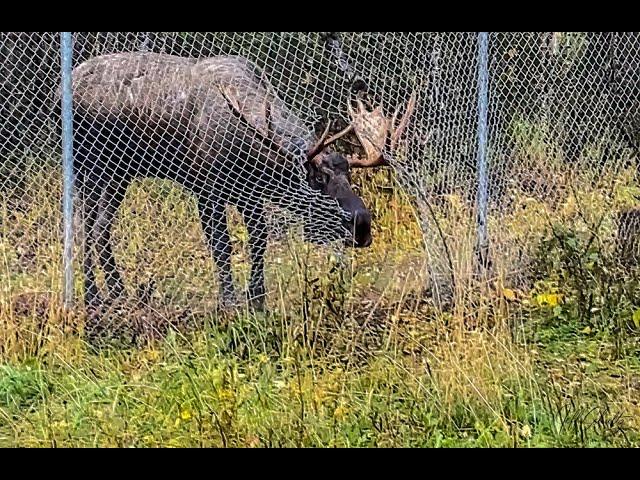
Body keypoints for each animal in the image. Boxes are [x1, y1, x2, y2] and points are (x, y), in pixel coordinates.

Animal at [71, 52, 416, 314]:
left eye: (350, 174)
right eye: (318, 179)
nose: (362, 225)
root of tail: (73, 80)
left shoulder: (249, 194)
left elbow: (258, 240)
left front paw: (258, 299)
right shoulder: (206, 189)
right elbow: (221, 245)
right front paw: (229, 300)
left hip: (115, 175)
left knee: (97, 227)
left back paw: (110, 292)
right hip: (94, 168)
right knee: (88, 226)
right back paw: (99, 295)